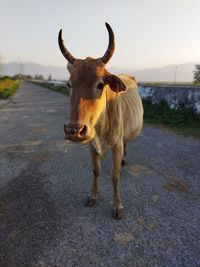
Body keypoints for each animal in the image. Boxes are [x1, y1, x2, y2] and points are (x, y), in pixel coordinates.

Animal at [58, 23, 144, 220]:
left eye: (99, 84)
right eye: (69, 85)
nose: (73, 130)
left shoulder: (117, 145)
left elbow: (115, 175)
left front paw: (118, 206)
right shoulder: (91, 144)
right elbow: (96, 171)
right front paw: (93, 196)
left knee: (126, 145)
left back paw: (124, 159)